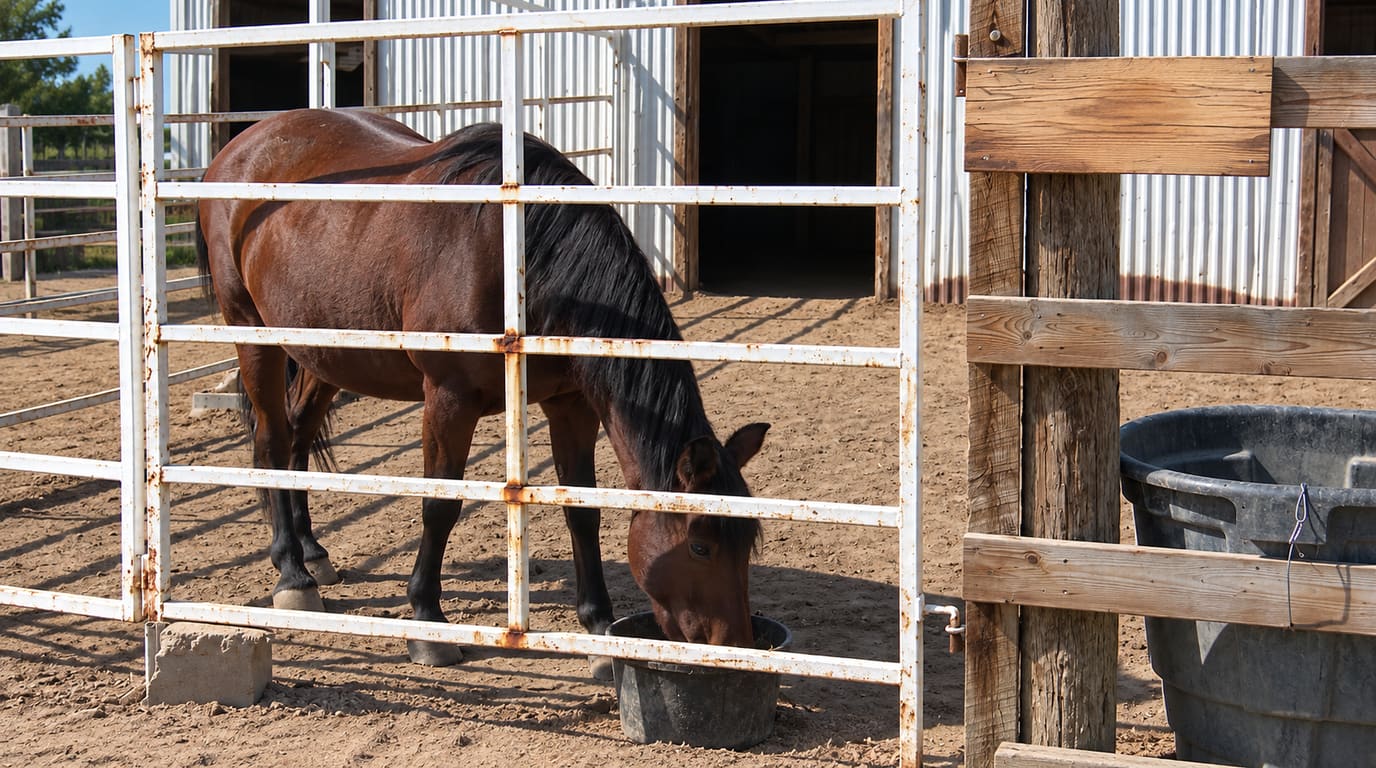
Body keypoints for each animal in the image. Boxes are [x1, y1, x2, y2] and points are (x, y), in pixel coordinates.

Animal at [195, 108, 769, 676]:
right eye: (700, 547)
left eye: (746, 543)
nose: (736, 646)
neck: (520, 256)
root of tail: (241, 147)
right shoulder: (449, 400)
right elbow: (440, 506)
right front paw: (427, 623)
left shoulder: (571, 405)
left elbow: (582, 510)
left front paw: (601, 630)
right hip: (254, 335)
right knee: (272, 442)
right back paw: (292, 574)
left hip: (323, 353)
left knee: (296, 438)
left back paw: (313, 553)